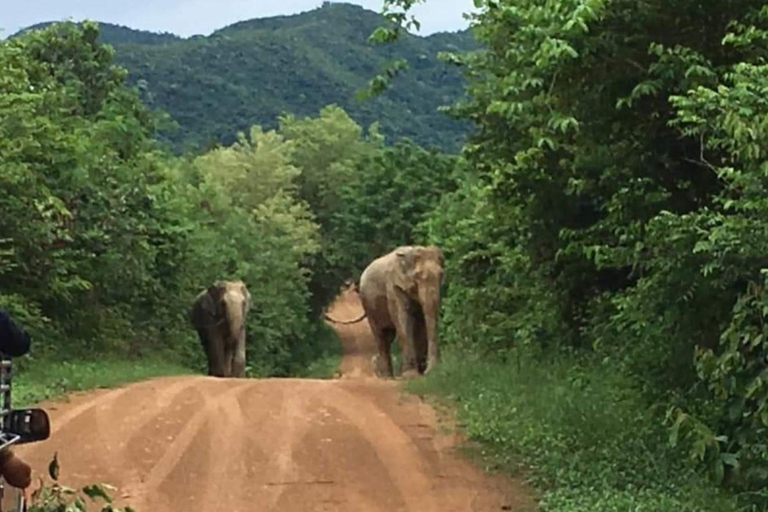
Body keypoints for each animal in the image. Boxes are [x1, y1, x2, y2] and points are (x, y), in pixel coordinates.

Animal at [355, 245, 444, 378]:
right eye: (418, 276)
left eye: (441, 275)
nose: (431, 371)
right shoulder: (393, 286)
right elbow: (403, 318)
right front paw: (410, 375)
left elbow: (421, 322)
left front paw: (421, 372)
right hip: (369, 306)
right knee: (381, 336)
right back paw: (386, 376)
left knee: (389, 336)